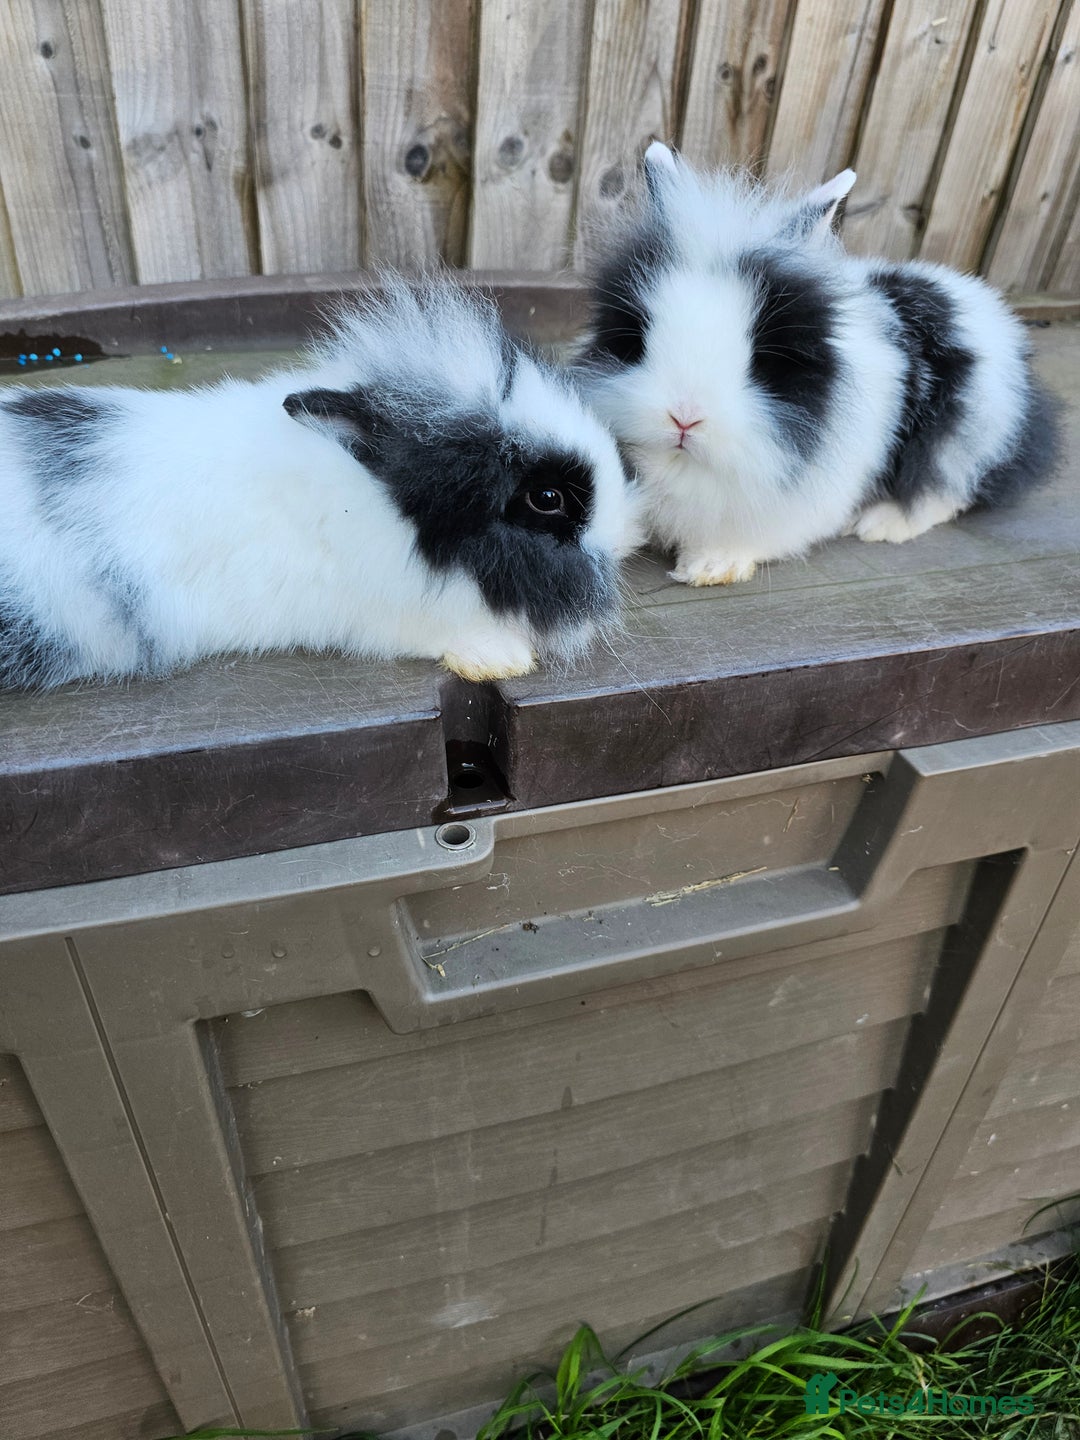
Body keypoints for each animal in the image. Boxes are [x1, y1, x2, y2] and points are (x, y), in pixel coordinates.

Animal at [572, 142, 1060, 587]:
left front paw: (708, 567)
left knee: (948, 490)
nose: (684, 418)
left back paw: (882, 524)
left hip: (970, 434)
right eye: (635, 340)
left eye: (764, 360)